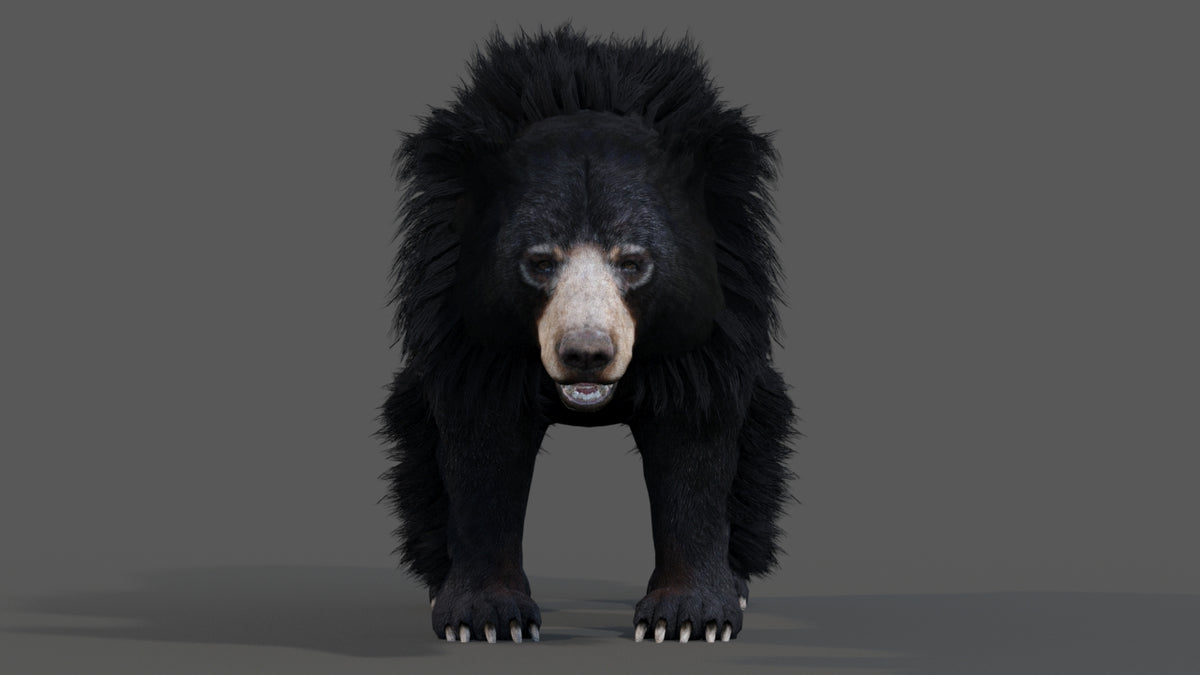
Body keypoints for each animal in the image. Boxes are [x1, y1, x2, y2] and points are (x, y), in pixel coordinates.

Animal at [381, 26, 795, 644]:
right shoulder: (468, 334)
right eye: (539, 261)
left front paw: (689, 619)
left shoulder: (710, 328)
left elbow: (696, 444)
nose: (585, 355)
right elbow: (481, 446)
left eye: (633, 262)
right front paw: (487, 620)